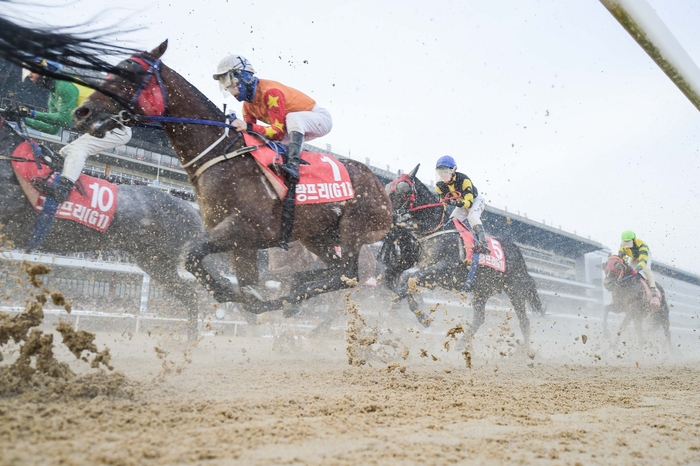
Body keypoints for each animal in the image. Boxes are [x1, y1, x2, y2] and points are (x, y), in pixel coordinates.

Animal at [74, 41, 396, 314]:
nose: (82, 112)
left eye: (130, 74)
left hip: (353, 226)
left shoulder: (251, 229)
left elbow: (192, 253)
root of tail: (384, 188)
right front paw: (245, 295)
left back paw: (288, 297)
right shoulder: (237, 241)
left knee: (346, 274)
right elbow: (233, 276)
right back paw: (293, 287)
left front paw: (233, 294)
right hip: (317, 235)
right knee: (336, 270)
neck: (221, 155)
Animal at [380, 165, 544, 350]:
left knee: (524, 322)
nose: (384, 214)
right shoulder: (426, 268)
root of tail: (520, 256)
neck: (435, 230)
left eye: (402, 190)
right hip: (482, 290)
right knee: (479, 318)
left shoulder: (443, 270)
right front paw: (415, 312)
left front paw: (418, 314)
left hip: (514, 290)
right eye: (387, 187)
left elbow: (410, 279)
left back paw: (526, 352)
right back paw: (461, 344)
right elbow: (403, 279)